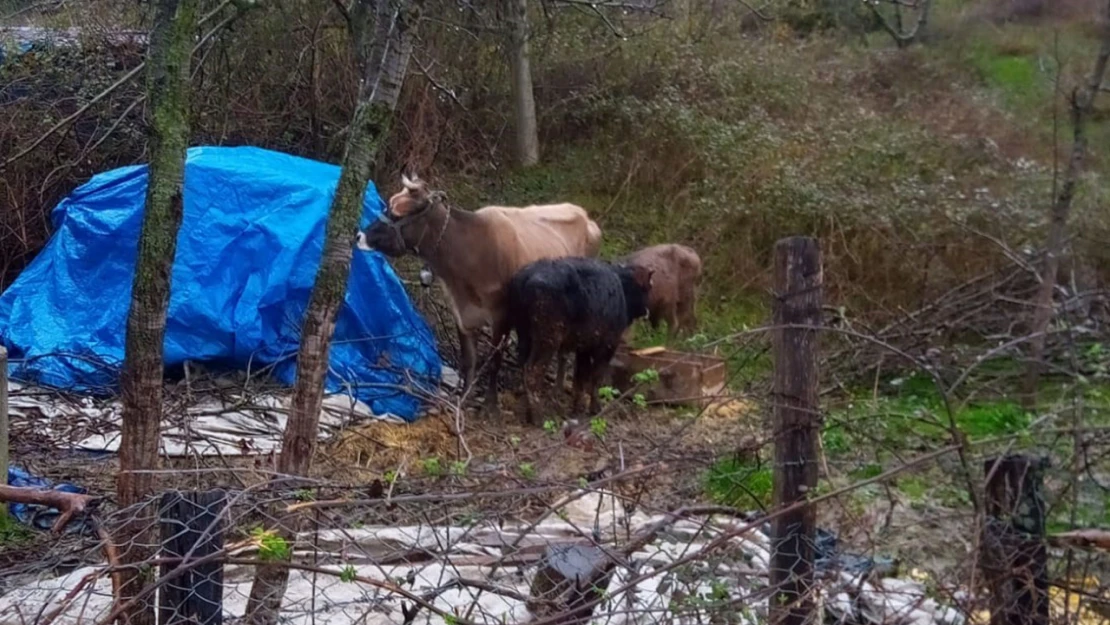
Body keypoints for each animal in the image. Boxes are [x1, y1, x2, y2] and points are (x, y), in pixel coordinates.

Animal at [355, 173, 599, 417]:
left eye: (399, 212)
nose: (359, 235)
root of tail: (584, 216)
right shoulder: (461, 313)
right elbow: (469, 360)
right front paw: (464, 398)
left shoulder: (501, 316)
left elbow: (494, 360)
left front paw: (490, 405)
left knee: (564, 349)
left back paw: (557, 388)